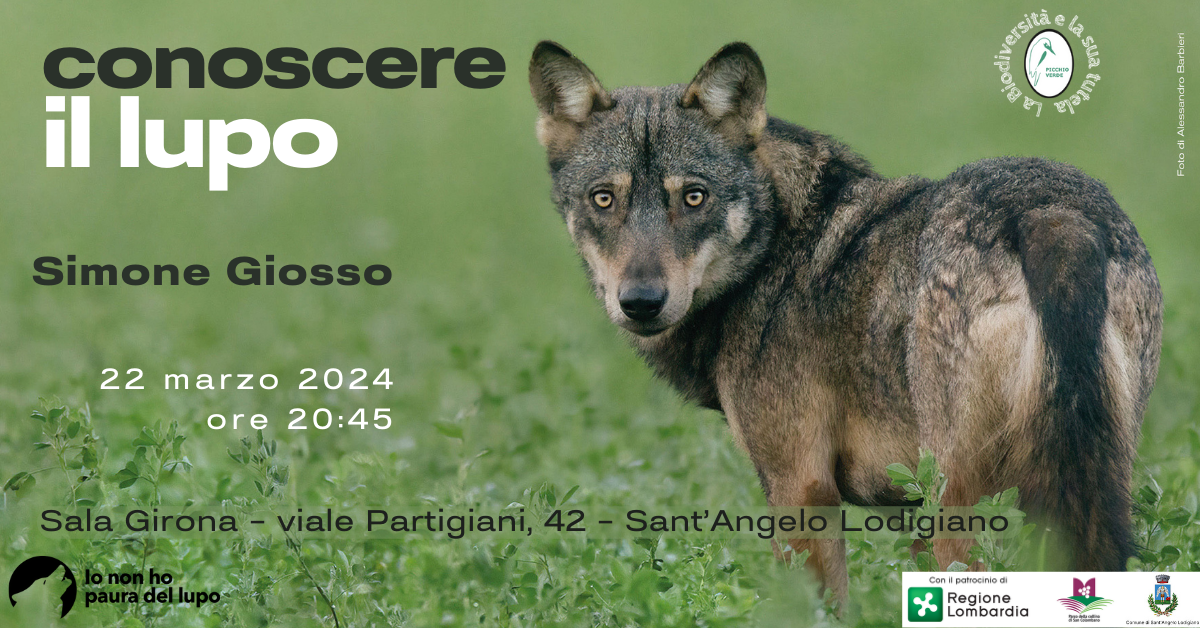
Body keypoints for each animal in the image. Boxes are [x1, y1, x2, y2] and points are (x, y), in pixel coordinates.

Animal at [528, 41, 1162, 600]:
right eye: (603, 199)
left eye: (693, 197)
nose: (641, 301)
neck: (776, 249)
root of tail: (1052, 217)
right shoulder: (903, 507)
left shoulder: (801, 489)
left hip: (962, 505)